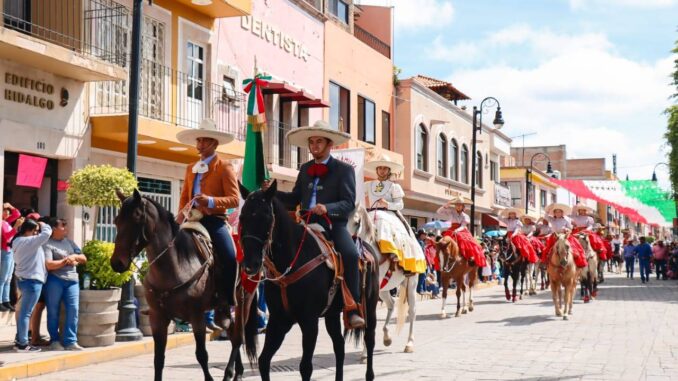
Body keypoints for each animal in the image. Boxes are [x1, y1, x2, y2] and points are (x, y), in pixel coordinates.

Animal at [350, 205, 420, 356]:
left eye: (357, 222)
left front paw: (366, 352)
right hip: (384, 289)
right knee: (391, 303)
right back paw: (387, 337)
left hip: (411, 283)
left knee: (412, 311)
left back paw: (409, 343)